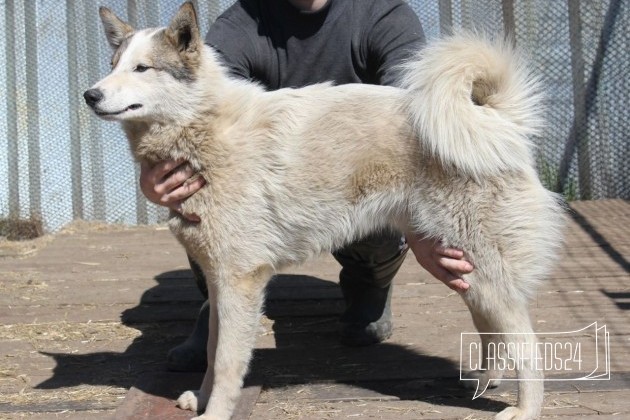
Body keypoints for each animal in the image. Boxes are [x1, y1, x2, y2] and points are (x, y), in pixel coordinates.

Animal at [85, 3, 568, 420]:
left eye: (142, 68)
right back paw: (484, 382)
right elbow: (211, 349)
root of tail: (494, 120)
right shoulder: (221, 281)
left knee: (527, 344)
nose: (90, 95)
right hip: (467, 271)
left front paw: (215, 413)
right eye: (113, 64)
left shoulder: (240, 281)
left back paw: (525, 409)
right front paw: (201, 398)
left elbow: (226, 362)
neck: (204, 127)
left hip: (486, 273)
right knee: (491, 332)